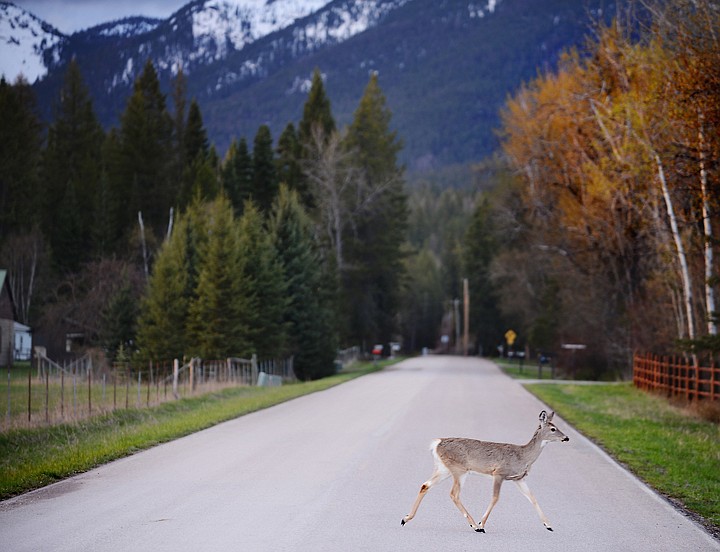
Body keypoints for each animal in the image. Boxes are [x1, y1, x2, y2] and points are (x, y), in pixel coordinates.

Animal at [400, 412, 568, 532]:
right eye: (553, 429)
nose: (566, 438)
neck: (523, 457)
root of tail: (437, 443)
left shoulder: (518, 478)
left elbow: (532, 497)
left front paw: (548, 525)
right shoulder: (499, 473)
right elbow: (495, 498)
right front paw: (482, 524)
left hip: (444, 468)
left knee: (425, 485)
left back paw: (405, 518)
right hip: (459, 470)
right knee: (453, 494)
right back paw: (474, 525)